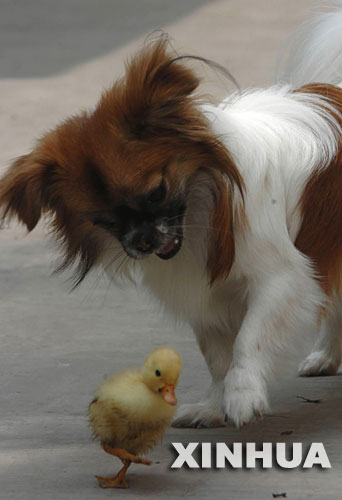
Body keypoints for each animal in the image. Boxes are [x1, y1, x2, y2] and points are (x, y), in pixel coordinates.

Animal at [0, 1, 342, 428]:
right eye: (104, 220)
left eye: (157, 192)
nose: (143, 242)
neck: (205, 204)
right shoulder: (205, 295)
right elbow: (217, 356)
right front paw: (213, 405)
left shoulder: (282, 280)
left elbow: (249, 340)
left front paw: (242, 396)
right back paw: (327, 356)